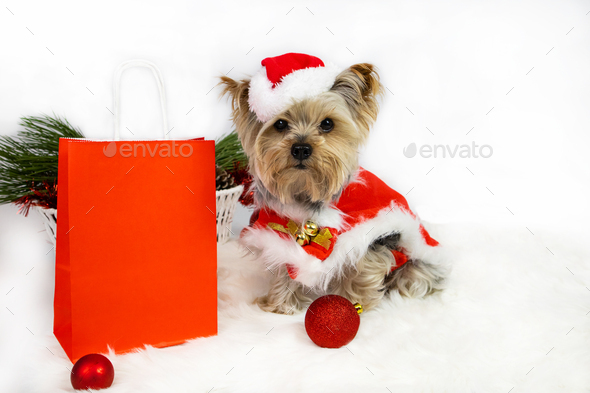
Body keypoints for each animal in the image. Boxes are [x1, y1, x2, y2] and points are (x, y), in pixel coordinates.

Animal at [222, 53, 448, 314]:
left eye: (327, 123)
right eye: (280, 125)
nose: (301, 148)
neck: (306, 192)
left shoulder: (369, 236)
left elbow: (364, 266)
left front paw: (350, 303)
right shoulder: (277, 230)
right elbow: (286, 263)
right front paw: (280, 305)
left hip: (417, 260)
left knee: (415, 276)